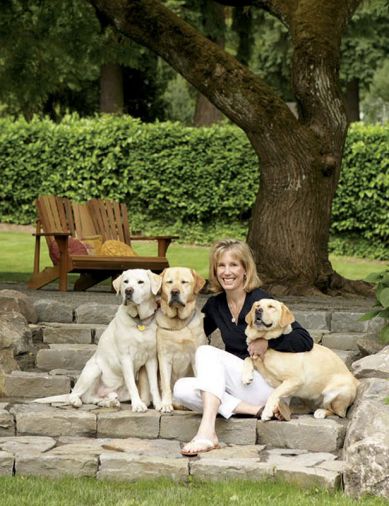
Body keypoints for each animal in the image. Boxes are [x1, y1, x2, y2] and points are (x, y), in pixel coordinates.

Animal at [32, 268, 161, 412]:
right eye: (125, 282)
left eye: (140, 282)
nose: (128, 291)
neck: (139, 322)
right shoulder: (126, 358)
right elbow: (132, 385)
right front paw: (138, 404)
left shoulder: (151, 359)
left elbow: (154, 385)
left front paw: (159, 404)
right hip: (94, 369)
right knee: (76, 395)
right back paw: (77, 401)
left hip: (116, 392)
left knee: (96, 398)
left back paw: (110, 402)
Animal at [156, 266, 208, 414]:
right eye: (169, 282)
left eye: (184, 282)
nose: (174, 292)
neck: (178, 324)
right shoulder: (164, 356)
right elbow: (166, 384)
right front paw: (166, 404)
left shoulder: (195, 355)